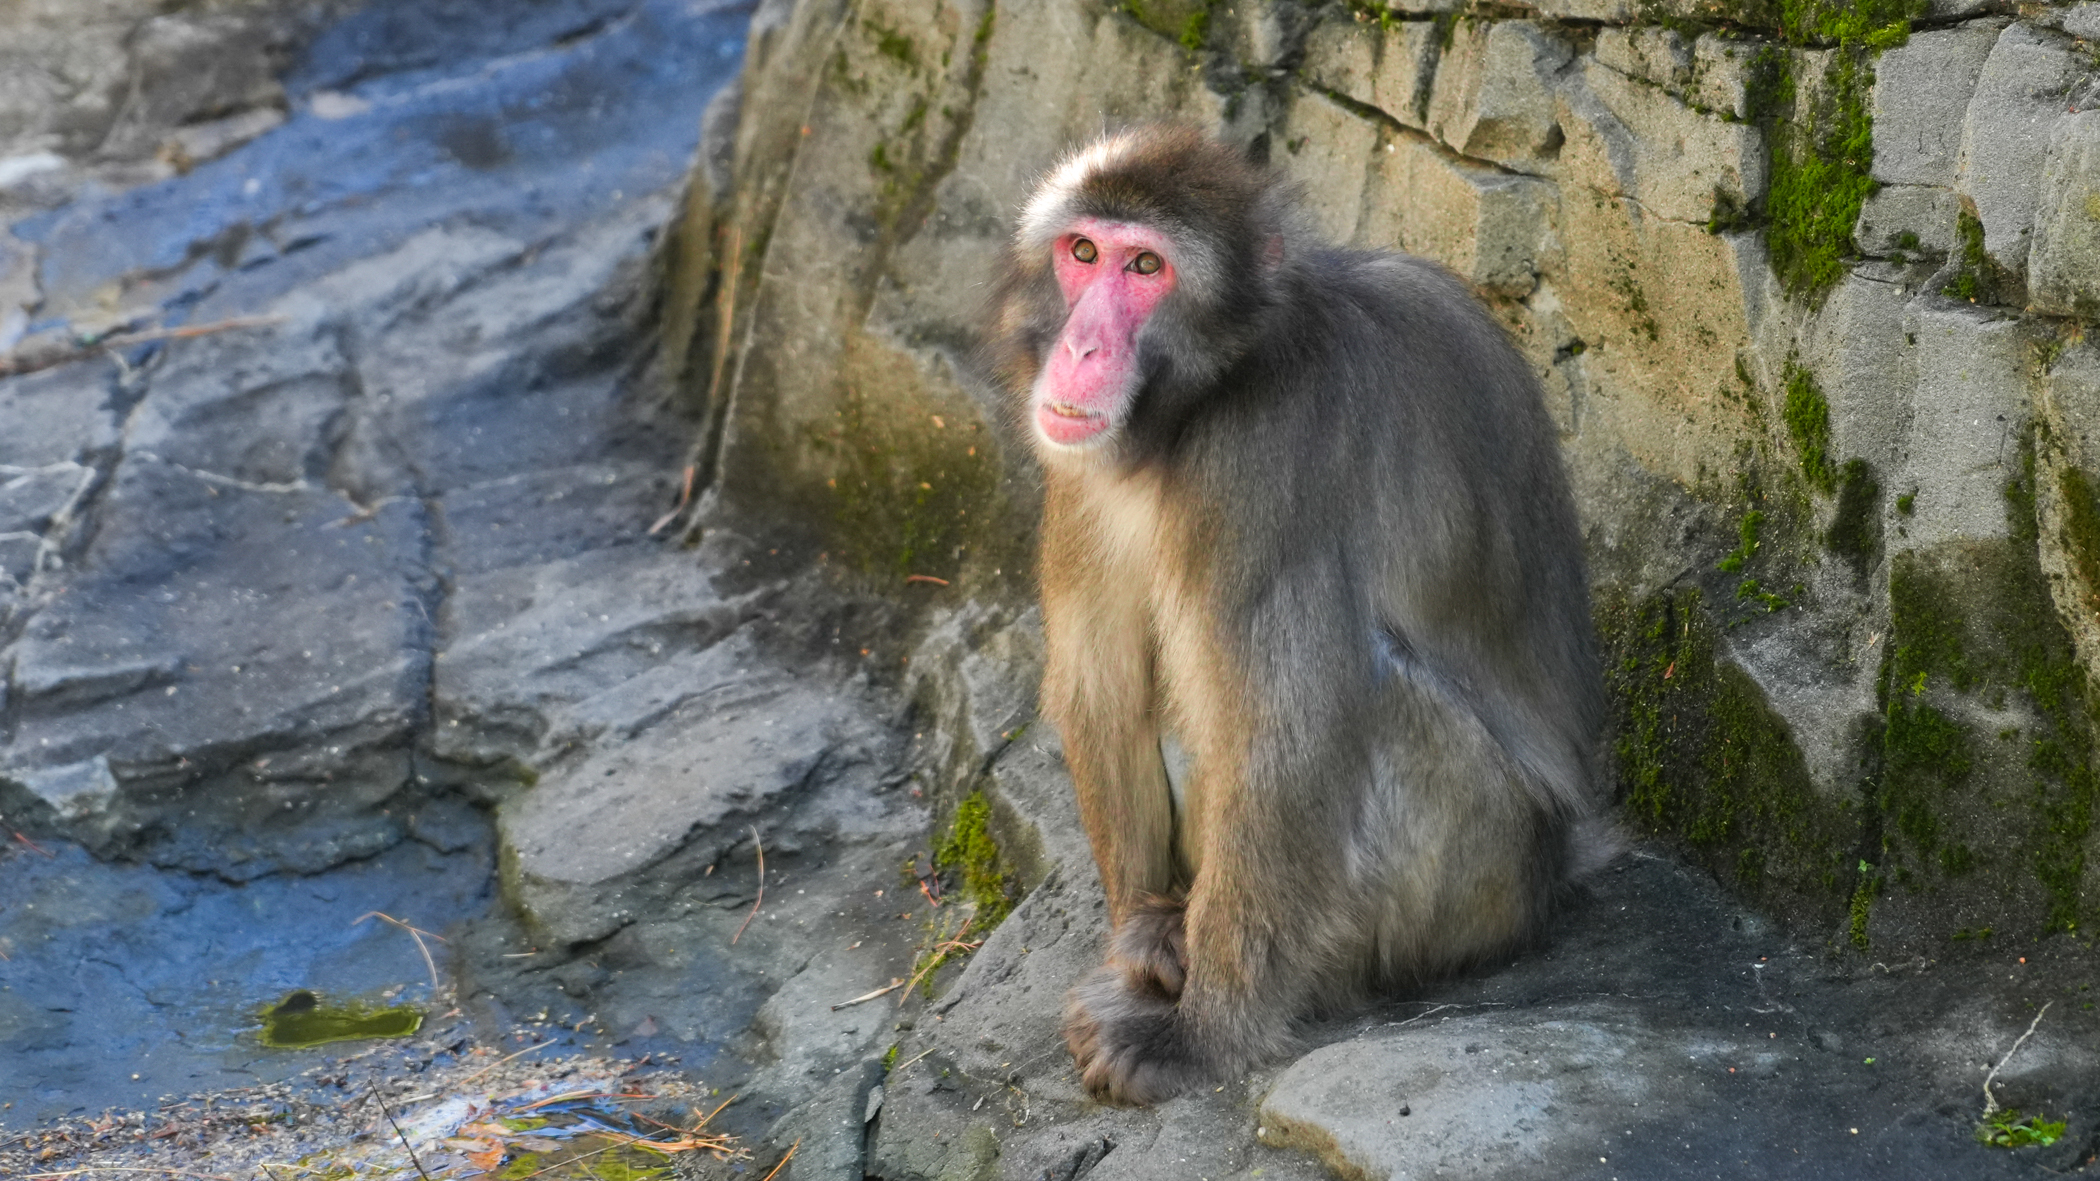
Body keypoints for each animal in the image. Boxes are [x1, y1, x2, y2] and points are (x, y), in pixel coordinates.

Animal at [978, 125, 1610, 1104]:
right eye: (1082, 254)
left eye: (1146, 266)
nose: (1078, 350)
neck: (1211, 395)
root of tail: (1550, 878)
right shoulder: (1084, 462)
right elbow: (1100, 686)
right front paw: (1134, 941)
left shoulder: (1270, 458)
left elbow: (1289, 736)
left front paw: (1198, 1036)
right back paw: (1168, 929)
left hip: (1480, 879)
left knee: (1363, 698)